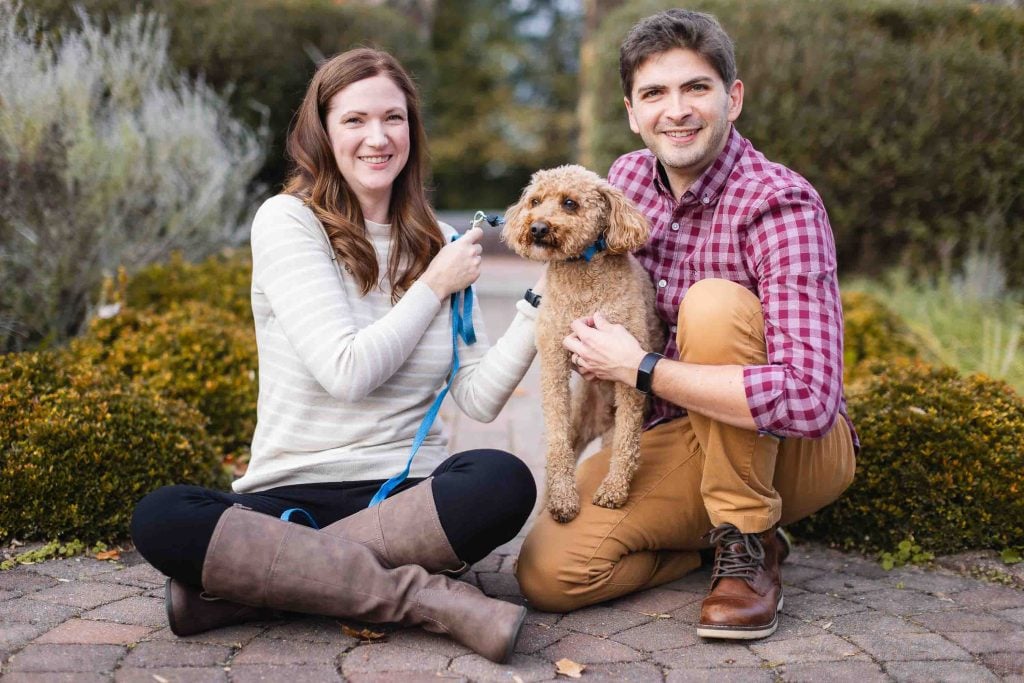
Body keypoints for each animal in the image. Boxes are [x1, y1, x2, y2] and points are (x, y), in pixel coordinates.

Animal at [501, 165, 663, 524]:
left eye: (570, 203)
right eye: (535, 201)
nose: (537, 227)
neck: (581, 276)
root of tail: (600, 420)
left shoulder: (629, 369)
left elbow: (628, 442)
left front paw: (614, 491)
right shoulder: (553, 360)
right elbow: (556, 438)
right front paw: (563, 500)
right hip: (580, 419)